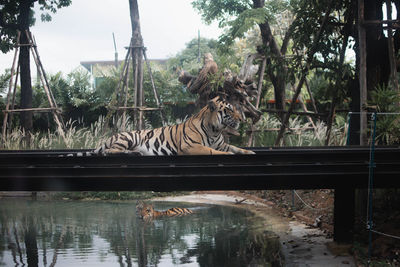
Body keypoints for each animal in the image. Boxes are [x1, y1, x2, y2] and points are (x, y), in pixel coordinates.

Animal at [94, 97, 253, 156]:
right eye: (230, 110)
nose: (242, 119)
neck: (215, 130)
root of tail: (109, 138)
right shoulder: (190, 145)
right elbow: (211, 151)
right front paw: (228, 154)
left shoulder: (222, 144)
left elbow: (236, 147)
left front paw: (249, 152)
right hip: (129, 138)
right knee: (109, 150)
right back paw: (130, 152)